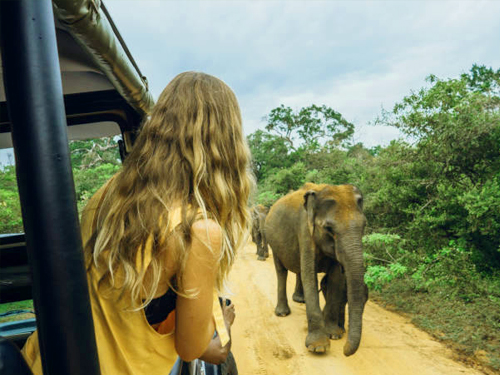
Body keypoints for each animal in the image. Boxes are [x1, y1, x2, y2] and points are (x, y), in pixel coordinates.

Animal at [266, 184, 368, 356]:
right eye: (329, 228)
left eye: (364, 226)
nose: (345, 351)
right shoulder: (305, 231)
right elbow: (310, 275)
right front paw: (318, 347)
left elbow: (335, 278)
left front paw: (334, 335)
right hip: (274, 243)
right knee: (281, 271)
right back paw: (282, 313)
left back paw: (300, 300)